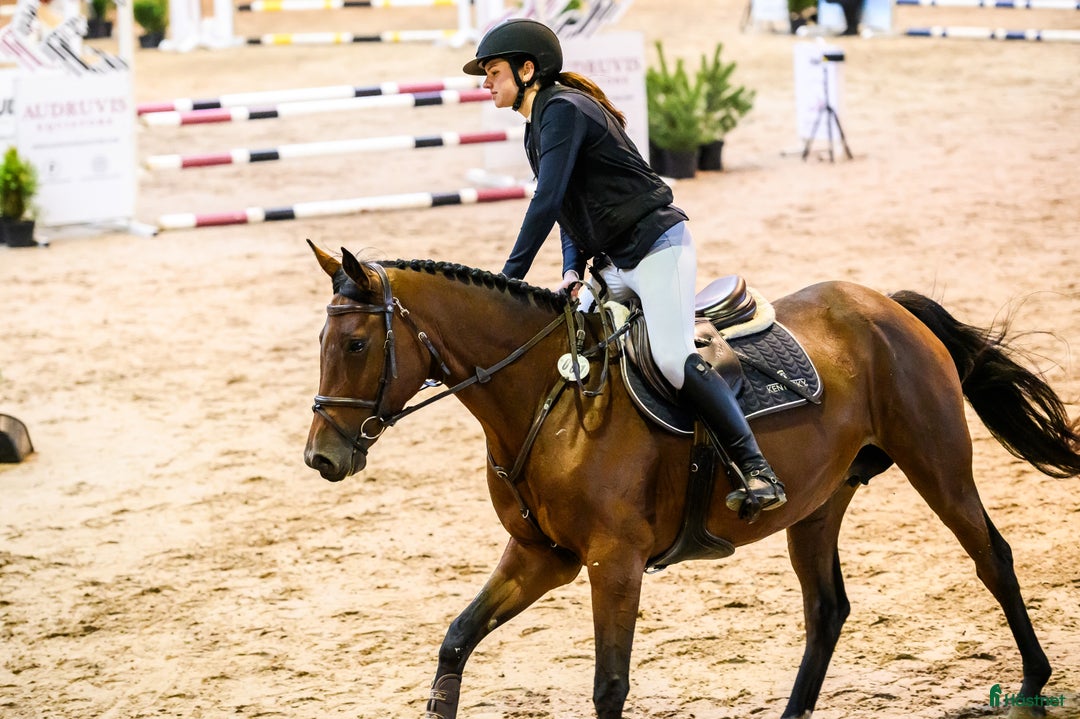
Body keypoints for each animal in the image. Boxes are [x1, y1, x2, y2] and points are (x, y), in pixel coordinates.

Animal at [303, 242, 1080, 719]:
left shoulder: (612, 564)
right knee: (826, 609)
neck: (548, 401)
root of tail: (885, 303)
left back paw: (1034, 681)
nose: (322, 458)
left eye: (356, 343)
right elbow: (457, 639)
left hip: (937, 463)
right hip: (818, 503)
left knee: (992, 557)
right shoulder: (541, 557)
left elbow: (609, 685)